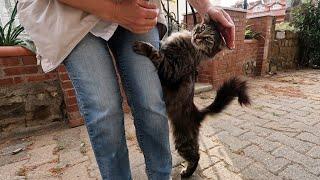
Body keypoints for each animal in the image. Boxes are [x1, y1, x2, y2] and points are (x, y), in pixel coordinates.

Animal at [132, 14, 250, 177]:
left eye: (208, 39)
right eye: (202, 28)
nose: (198, 36)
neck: (188, 43)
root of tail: (198, 113)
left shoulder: (172, 70)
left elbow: (158, 55)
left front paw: (144, 47)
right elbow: (161, 46)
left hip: (183, 142)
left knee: (196, 156)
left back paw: (187, 172)